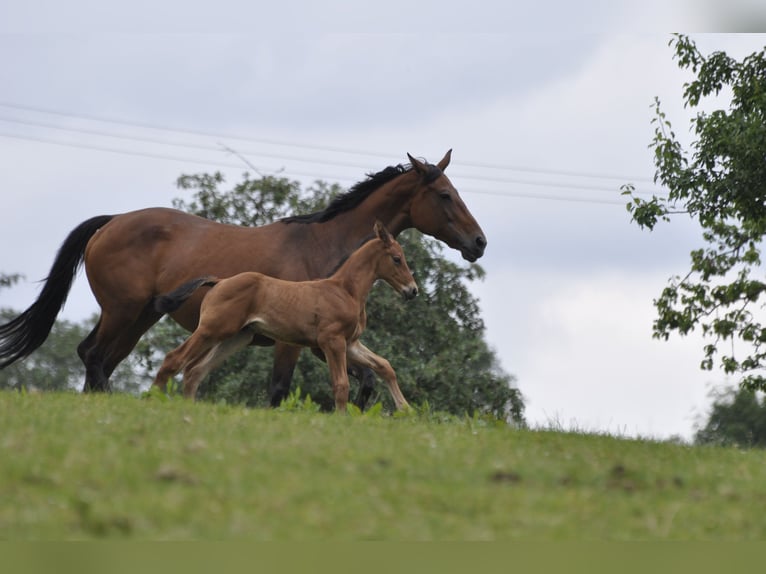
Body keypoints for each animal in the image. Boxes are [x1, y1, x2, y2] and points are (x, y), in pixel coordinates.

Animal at [152, 221, 416, 411]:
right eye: (397, 259)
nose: (412, 290)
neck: (345, 290)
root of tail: (219, 281)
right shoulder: (332, 341)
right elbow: (341, 384)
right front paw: (341, 419)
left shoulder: (351, 343)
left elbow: (385, 366)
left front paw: (406, 409)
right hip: (212, 329)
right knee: (174, 359)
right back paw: (151, 400)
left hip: (236, 338)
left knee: (195, 371)